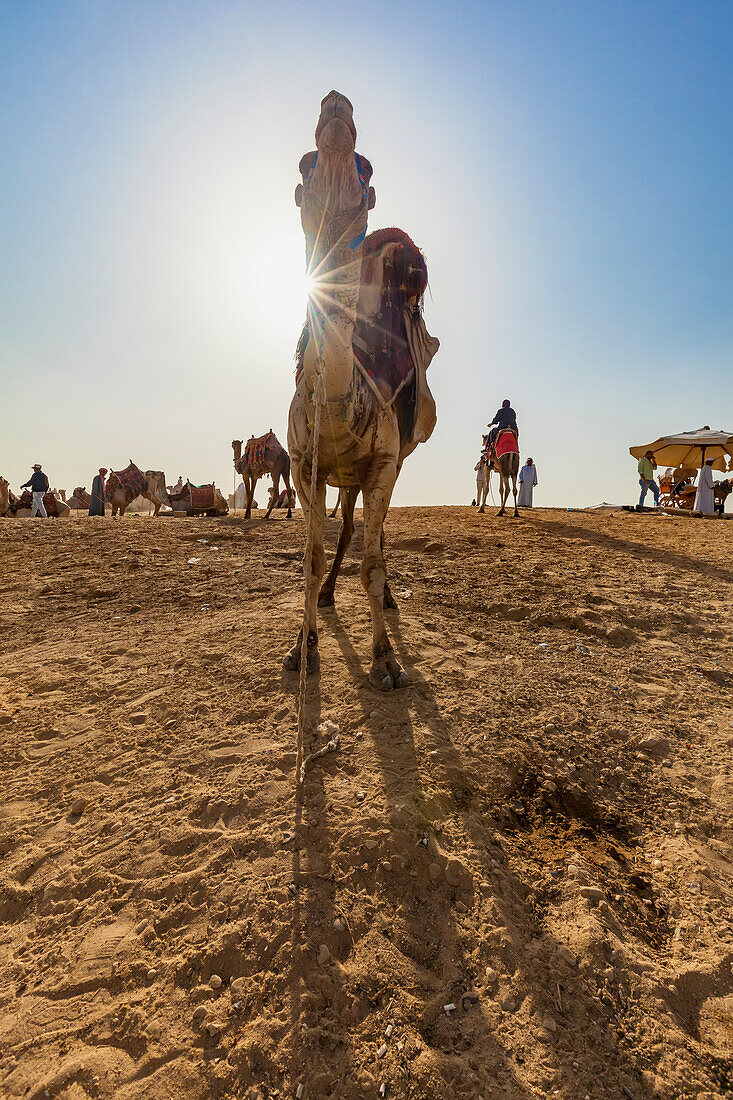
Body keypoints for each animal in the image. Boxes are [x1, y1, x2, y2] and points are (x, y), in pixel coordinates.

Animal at [281, 92, 435, 686]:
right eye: (305, 164)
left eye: (366, 167)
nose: (335, 107)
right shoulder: (304, 463)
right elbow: (312, 556)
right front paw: (302, 647)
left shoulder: (382, 461)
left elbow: (371, 561)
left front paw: (385, 660)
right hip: (340, 476)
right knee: (348, 526)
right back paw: (328, 596)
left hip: (391, 462)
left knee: (376, 531)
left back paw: (388, 599)